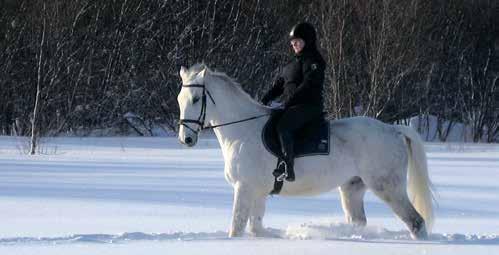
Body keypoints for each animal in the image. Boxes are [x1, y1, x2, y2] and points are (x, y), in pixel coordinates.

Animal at [178, 63, 436, 239]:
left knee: (416, 222)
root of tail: (393, 130)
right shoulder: (258, 193)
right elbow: (255, 227)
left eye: (196, 98)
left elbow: (237, 227)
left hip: (388, 188)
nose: (186, 139)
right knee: (359, 221)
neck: (243, 130)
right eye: (180, 98)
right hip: (352, 189)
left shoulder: (244, 189)